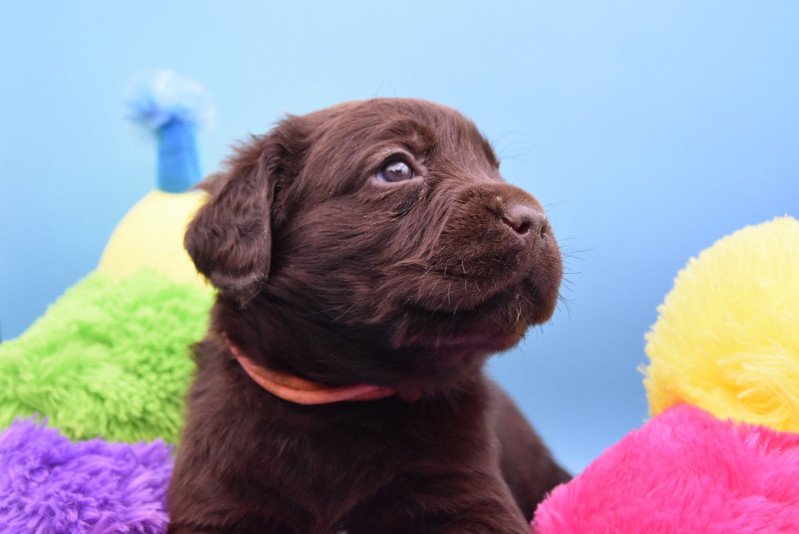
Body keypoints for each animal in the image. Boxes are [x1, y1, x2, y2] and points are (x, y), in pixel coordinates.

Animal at [169, 98, 568, 532]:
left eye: (493, 168)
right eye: (395, 170)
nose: (536, 220)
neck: (339, 398)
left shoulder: (473, 497)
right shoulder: (215, 496)